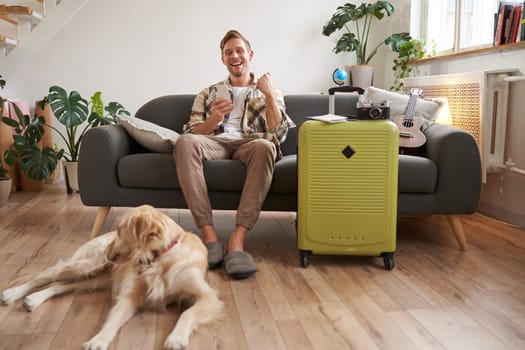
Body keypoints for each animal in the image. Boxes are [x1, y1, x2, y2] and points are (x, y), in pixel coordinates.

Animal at [0, 205, 222, 350]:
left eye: (120, 230)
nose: (108, 251)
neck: (158, 258)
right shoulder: (131, 296)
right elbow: (113, 320)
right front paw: (98, 340)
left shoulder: (208, 297)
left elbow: (187, 313)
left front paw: (176, 337)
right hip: (86, 264)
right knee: (42, 276)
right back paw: (12, 294)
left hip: (95, 279)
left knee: (58, 285)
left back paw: (33, 299)